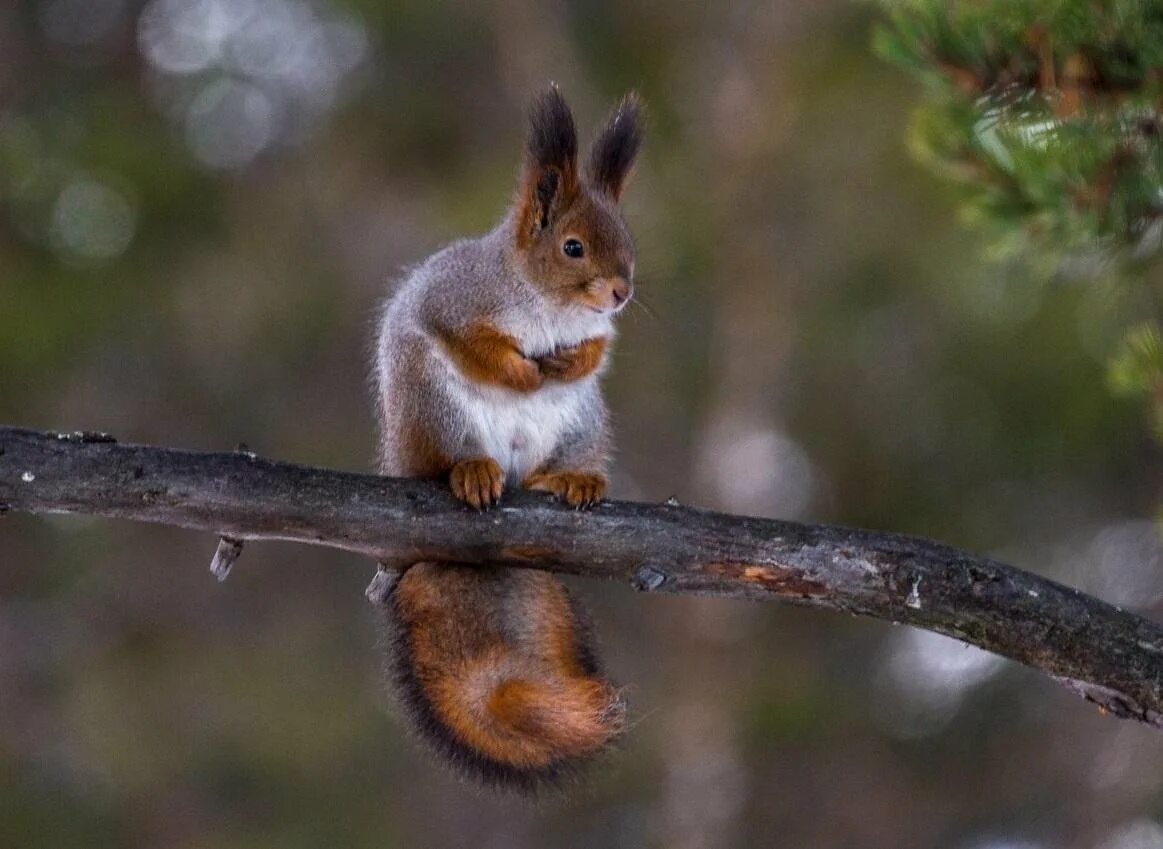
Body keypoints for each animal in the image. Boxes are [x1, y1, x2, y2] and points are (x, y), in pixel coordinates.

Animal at [369, 86, 646, 786]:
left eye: (628, 239)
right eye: (573, 247)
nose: (621, 293)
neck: (551, 306)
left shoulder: (599, 334)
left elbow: (596, 351)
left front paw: (567, 361)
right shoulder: (452, 303)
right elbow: (477, 344)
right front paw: (519, 370)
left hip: (583, 421)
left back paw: (567, 478)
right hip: (434, 406)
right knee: (450, 455)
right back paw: (471, 472)